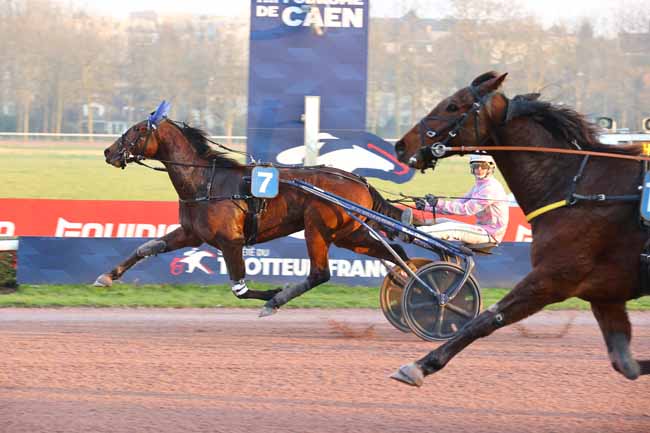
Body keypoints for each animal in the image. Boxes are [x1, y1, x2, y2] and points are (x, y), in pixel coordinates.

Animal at [99, 109, 404, 316]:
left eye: (138, 129)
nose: (108, 151)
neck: (206, 182)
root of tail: (361, 181)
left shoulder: (230, 241)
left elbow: (240, 290)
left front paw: (272, 294)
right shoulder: (191, 234)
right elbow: (146, 247)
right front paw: (108, 276)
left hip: (317, 228)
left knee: (320, 273)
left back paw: (276, 301)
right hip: (349, 234)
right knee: (395, 253)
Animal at [390, 71, 648, 384]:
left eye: (452, 106)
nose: (401, 146)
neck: (579, 187)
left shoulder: (553, 277)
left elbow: (487, 318)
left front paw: (421, 364)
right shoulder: (605, 294)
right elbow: (626, 364)